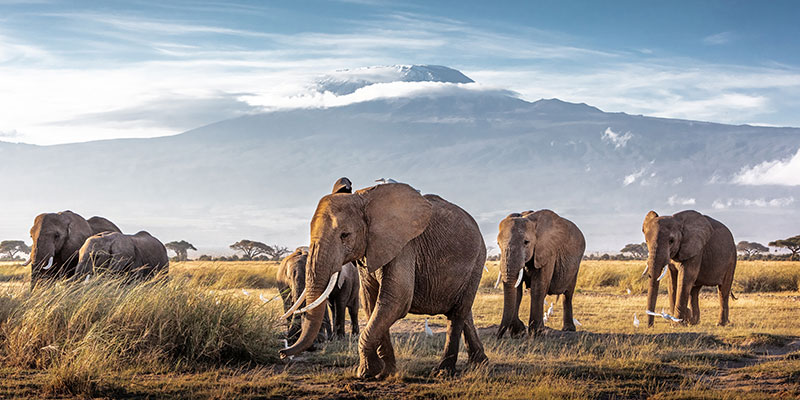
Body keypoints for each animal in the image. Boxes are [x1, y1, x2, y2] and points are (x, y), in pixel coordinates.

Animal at [279, 182, 488, 379]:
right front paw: (385, 373)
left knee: (457, 313)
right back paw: (479, 363)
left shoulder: (404, 246)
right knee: (463, 311)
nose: (282, 353)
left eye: (345, 235)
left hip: (478, 260)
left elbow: (396, 300)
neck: (363, 199)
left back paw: (443, 372)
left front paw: (366, 373)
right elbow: (372, 302)